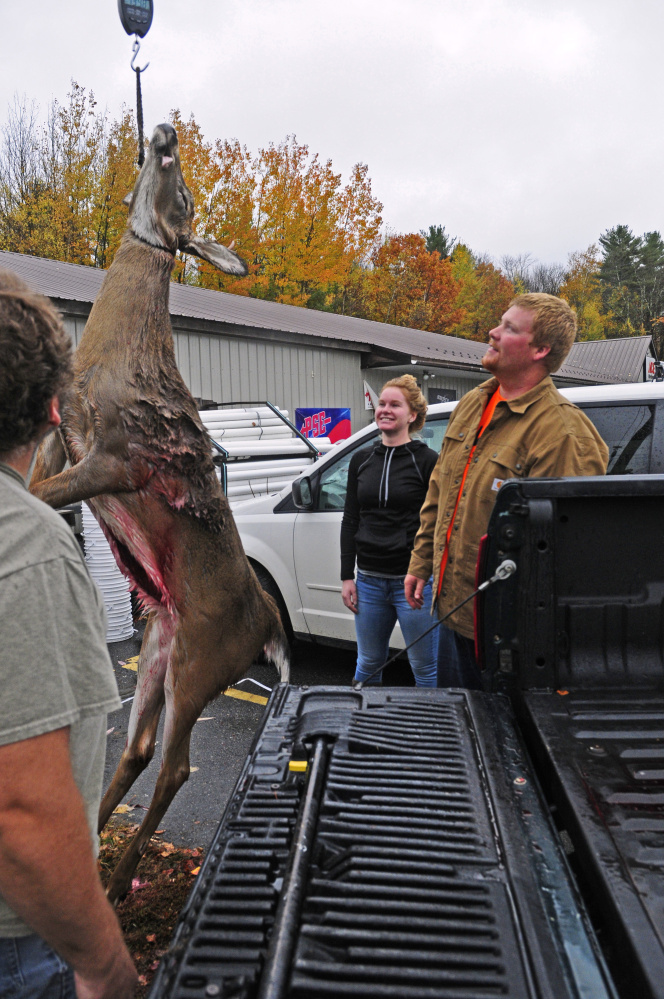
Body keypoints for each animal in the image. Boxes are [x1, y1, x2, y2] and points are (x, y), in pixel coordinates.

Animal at [31, 121, 290, 904]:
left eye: (189, 197)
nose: (166, 131)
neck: (112, 356)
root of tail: (270, 623)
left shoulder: (118, 458)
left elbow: (42, 497)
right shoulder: (59, 432)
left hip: (204, 661)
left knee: (176, 765)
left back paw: (120, 880)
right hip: (159, 645)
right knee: (140, 745)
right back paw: (97, 850)